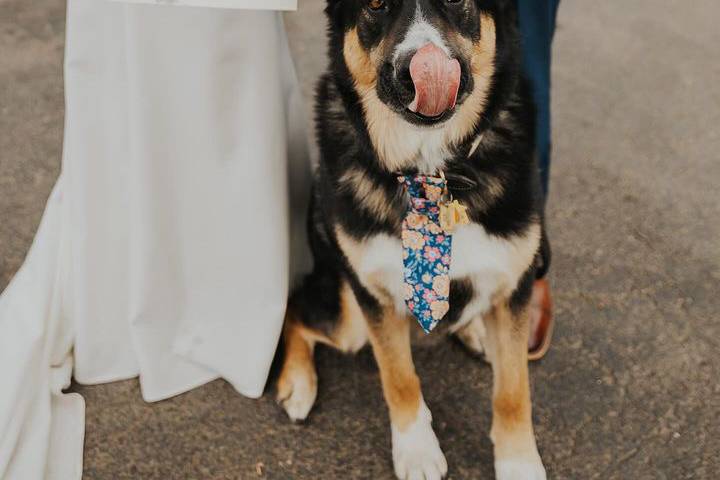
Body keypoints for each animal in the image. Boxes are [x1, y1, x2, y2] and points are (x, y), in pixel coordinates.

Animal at [278, 1, 548, 478]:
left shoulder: (515, 286)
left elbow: (514, 391)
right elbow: (399, 377)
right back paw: (297, 382)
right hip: (348, 318)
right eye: (375, 5)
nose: (421, 69)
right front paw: (417, 449)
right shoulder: (374, 296)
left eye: (458, 3)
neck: (434, 170)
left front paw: (518, 462)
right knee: (295, 308)